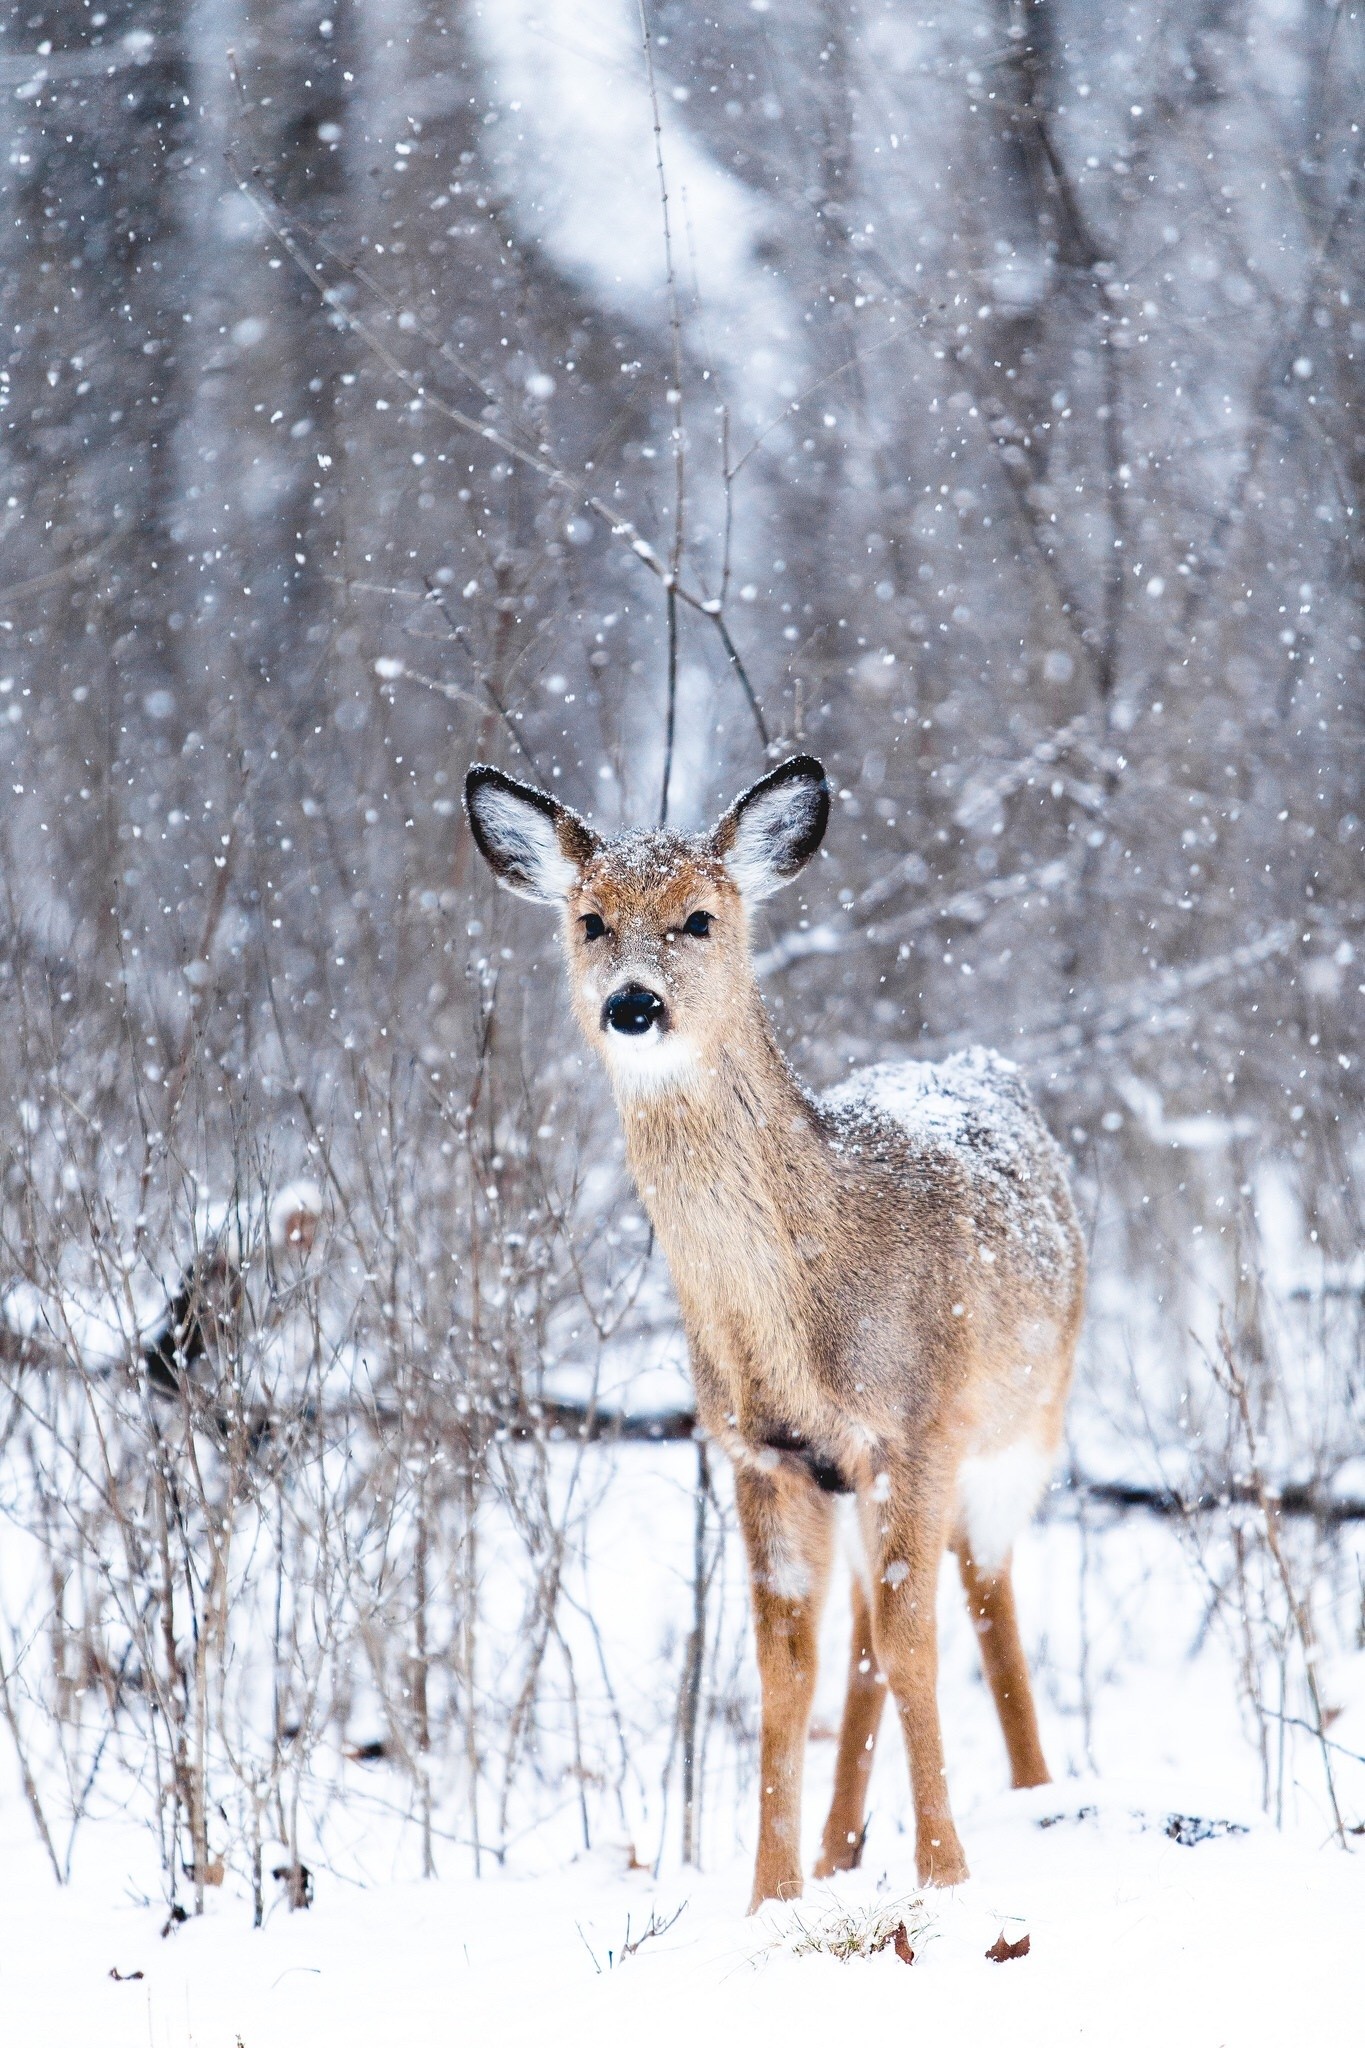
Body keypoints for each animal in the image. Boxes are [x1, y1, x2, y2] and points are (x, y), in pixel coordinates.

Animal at [464, 749, 1080, 1900]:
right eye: (590, 919)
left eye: (699, 918)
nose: (632, 1003)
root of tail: (983, 1065)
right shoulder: (764, 1451)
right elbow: (786, 1670)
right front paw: (771, 1893)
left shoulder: (915, 1427)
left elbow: (919, 1641)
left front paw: (946, 1874)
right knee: (866, 1640)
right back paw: (843, 1847)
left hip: (1025, 1425)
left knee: (984, 1593)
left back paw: (1037, 1796)